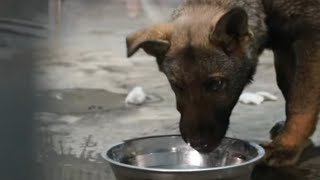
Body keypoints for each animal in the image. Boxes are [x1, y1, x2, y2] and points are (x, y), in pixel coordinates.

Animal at [125, 0, 320, 167]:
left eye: (216, 84)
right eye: (177, 86)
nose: (197, 144)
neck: (264, 6)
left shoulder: (309, 36)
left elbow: (301, 100)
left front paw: (287, 145)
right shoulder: (283, 46)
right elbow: (288, 88)